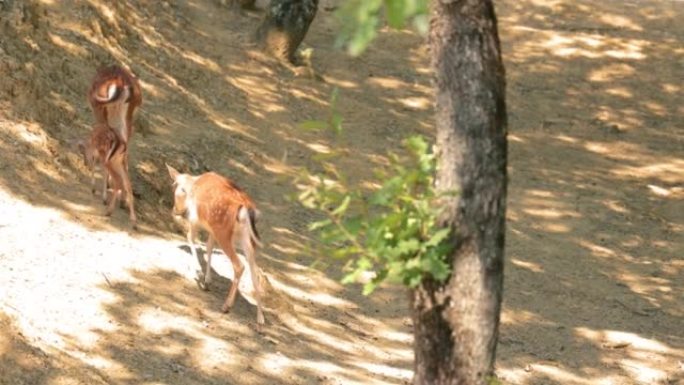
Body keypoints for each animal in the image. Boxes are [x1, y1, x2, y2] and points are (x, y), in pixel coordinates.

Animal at [167, 164, 266, 328]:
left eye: (175, 186)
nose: (174, 210)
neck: (193, 183)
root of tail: (246, 209)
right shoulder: (211, 230)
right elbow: (208, 248)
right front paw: (207, 280)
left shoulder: (195, 219)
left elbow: (191, 238)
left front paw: (199, 273)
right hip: (247, 240)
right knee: (255, 273)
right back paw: (260, 318)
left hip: (224, 233)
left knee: (239, 265)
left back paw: (226, 306)